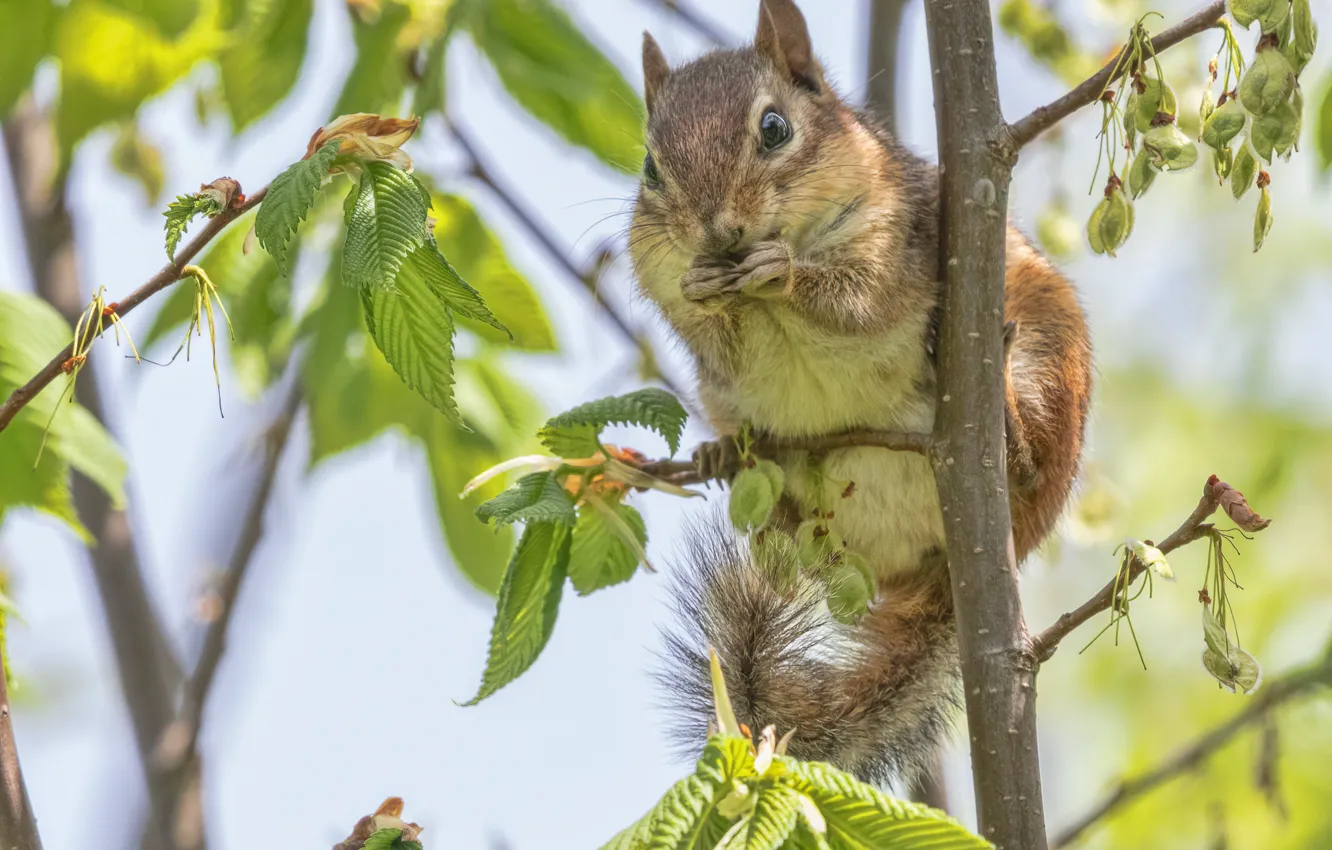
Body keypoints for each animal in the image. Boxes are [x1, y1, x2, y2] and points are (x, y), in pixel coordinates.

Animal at [630, 0, 1093, 787]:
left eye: (775, 128)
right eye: (649, 167)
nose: (718, 232)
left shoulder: (896, 238)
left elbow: (856, 301)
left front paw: (780, 272)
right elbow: (716, 337)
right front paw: (708, 290)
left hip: (1048, 356)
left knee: (1032, 456)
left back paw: (1005, 422)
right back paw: (728, 456)